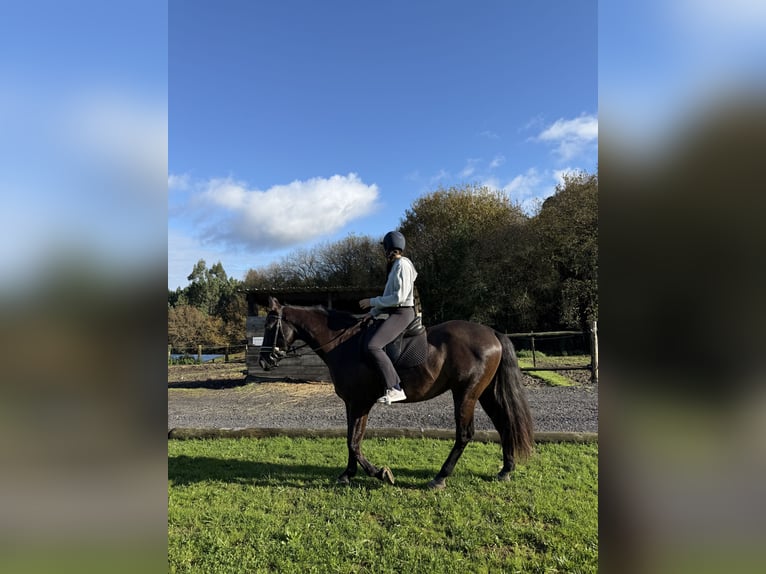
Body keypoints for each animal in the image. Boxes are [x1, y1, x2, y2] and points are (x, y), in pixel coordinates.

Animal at [258, 296, 534, 489]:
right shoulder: (354, 403)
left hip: (465, 394)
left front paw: (380, 473)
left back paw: (440, 477)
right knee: (504, 424)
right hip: (484, 393)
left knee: (465, 434)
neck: (343, 343)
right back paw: (505, 470)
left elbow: (353, 442)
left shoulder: (359, 402)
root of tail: (492, 333)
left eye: (270, 325)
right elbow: (352, 439)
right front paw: (347, 474)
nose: (263, 361)